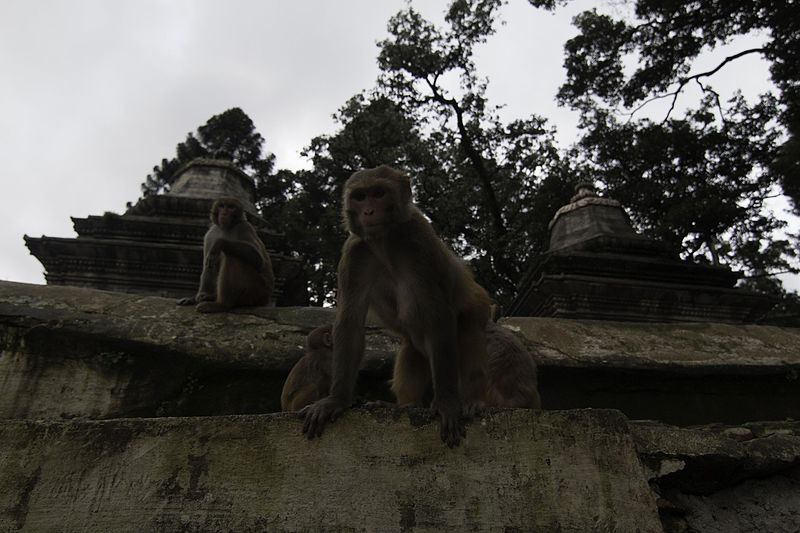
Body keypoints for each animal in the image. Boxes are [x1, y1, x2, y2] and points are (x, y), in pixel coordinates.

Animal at [302, 164, 494, 446]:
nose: (369, 211)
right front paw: (336, 400)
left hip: (478, 308)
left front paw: (447, 403)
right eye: (360, 197)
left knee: (468, 329)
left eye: (379, 193)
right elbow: (350, 322)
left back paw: (472, 401)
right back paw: (405, 405)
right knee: (411, 349)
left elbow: (438, 315)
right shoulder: (354, 255)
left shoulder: (419, 242)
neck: (385, 241)